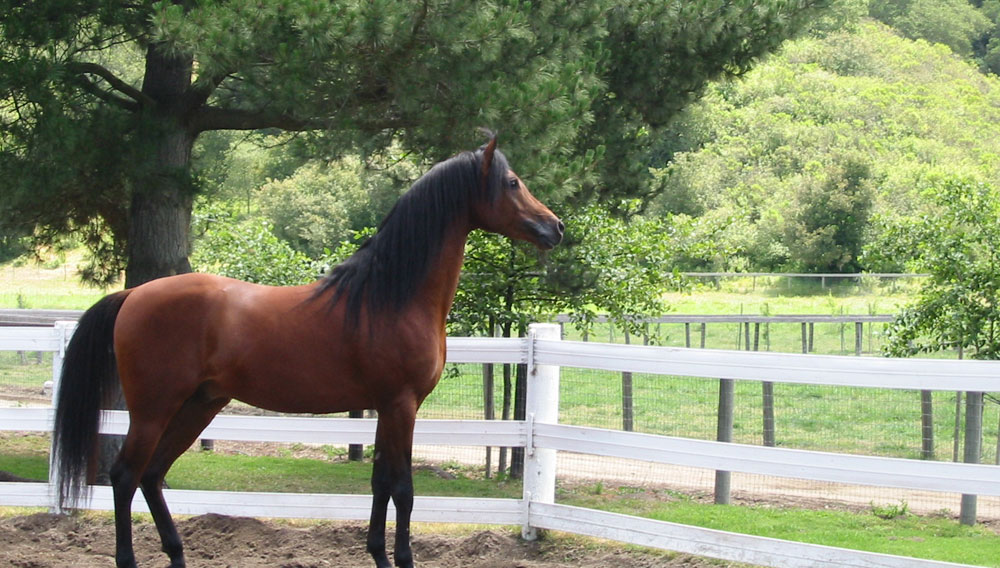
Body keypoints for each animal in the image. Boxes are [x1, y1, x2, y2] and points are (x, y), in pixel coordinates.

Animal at [52, 136, 563, 568]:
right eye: (513, 182)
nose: (555, 227)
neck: (388, 296)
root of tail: (133, 295)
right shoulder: (402, 405)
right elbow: (403, 488)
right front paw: (402, 559)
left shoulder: (385, 407)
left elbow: (379, 482)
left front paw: (377, 554)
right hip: (154, 409)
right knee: (125, 475)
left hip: (199, 404)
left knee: (153, 475)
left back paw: (177, 554)